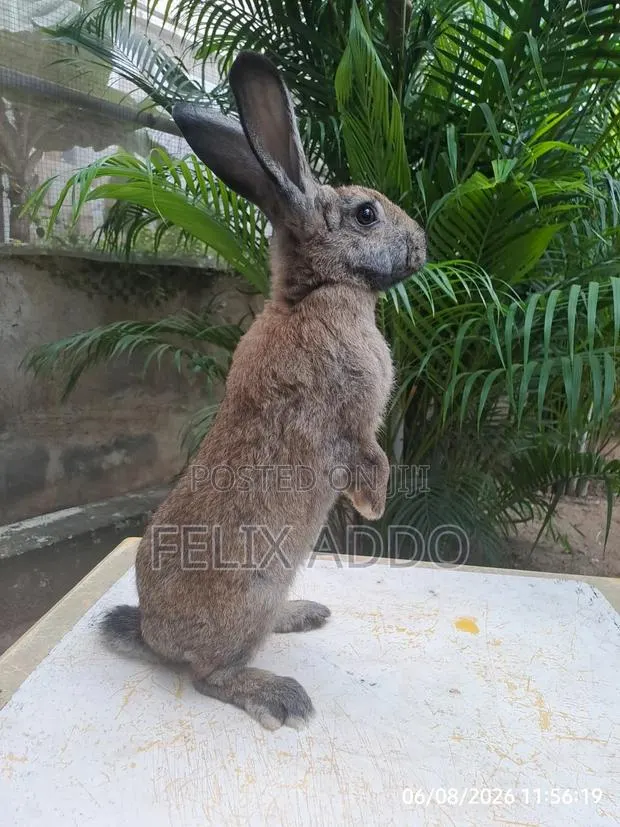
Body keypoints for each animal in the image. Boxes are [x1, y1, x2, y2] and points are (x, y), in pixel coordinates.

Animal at [101, 51, 426, 731]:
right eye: (366, 213)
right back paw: (279, 694)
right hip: (245, 608)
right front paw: (375, 506)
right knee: (209, 679)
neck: (317, 292)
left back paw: (304, 614)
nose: (422, 245)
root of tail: (154, 637)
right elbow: (369, 456)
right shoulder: (354, 421)